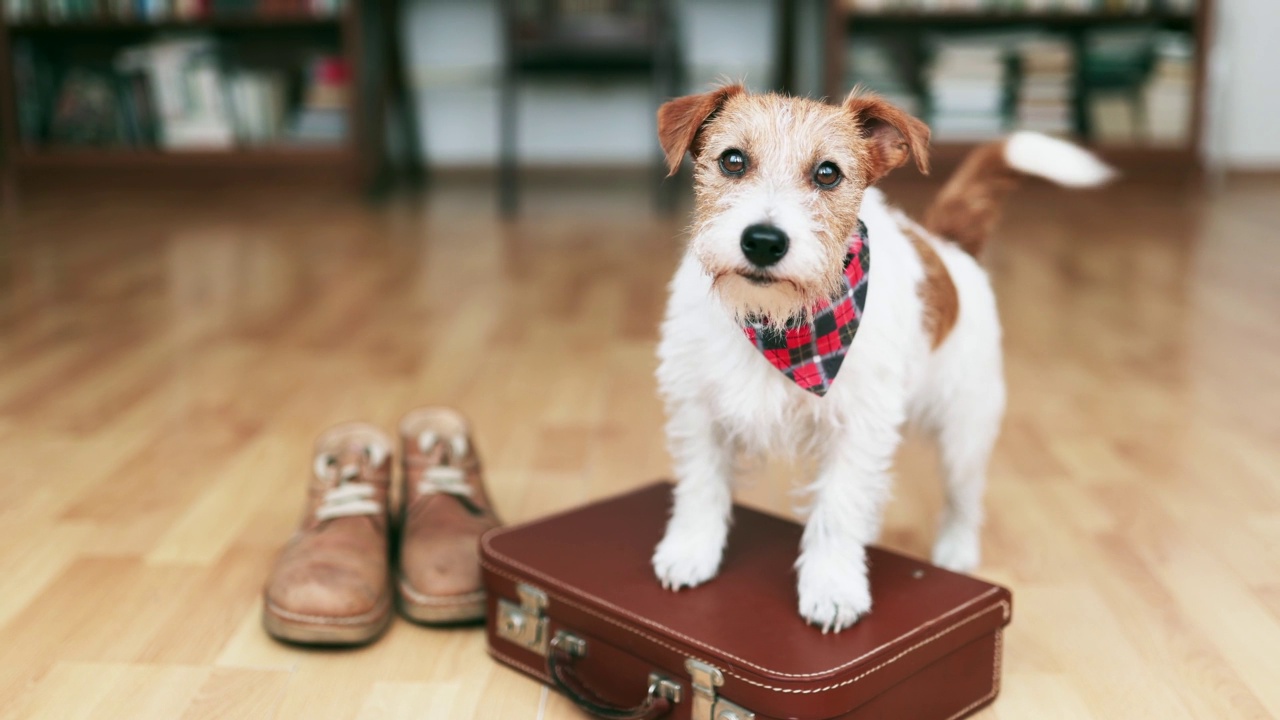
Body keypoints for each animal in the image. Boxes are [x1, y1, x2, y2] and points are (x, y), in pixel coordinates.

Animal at [650, 83, 1111, 630]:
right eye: (732, 160)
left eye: (828, 173)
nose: (763, 241)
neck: (778, 323)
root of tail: (949, 248)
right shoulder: (697, 408)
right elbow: (700, 487)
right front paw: (690, 552)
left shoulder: (858, 426)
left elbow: (837, 508)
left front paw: (832, 588)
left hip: (966, 428)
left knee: (964, 493)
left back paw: (956, 548)